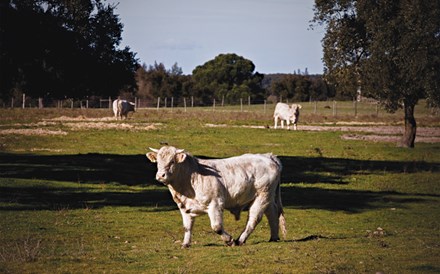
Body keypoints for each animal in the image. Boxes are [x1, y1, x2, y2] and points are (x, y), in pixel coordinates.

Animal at [146, 146, 288, 248]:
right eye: (158, 162)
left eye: (172, 161)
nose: (160, 176)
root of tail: (268, 156)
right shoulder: (184, 207)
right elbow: (187, 227)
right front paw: (185, 244)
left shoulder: (215, 204)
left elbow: (217, 227)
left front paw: (229, 240)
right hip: (268, 198)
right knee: (272, 213)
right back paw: (273, 237)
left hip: (262, 196)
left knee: (254, 219)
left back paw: (240, 240)